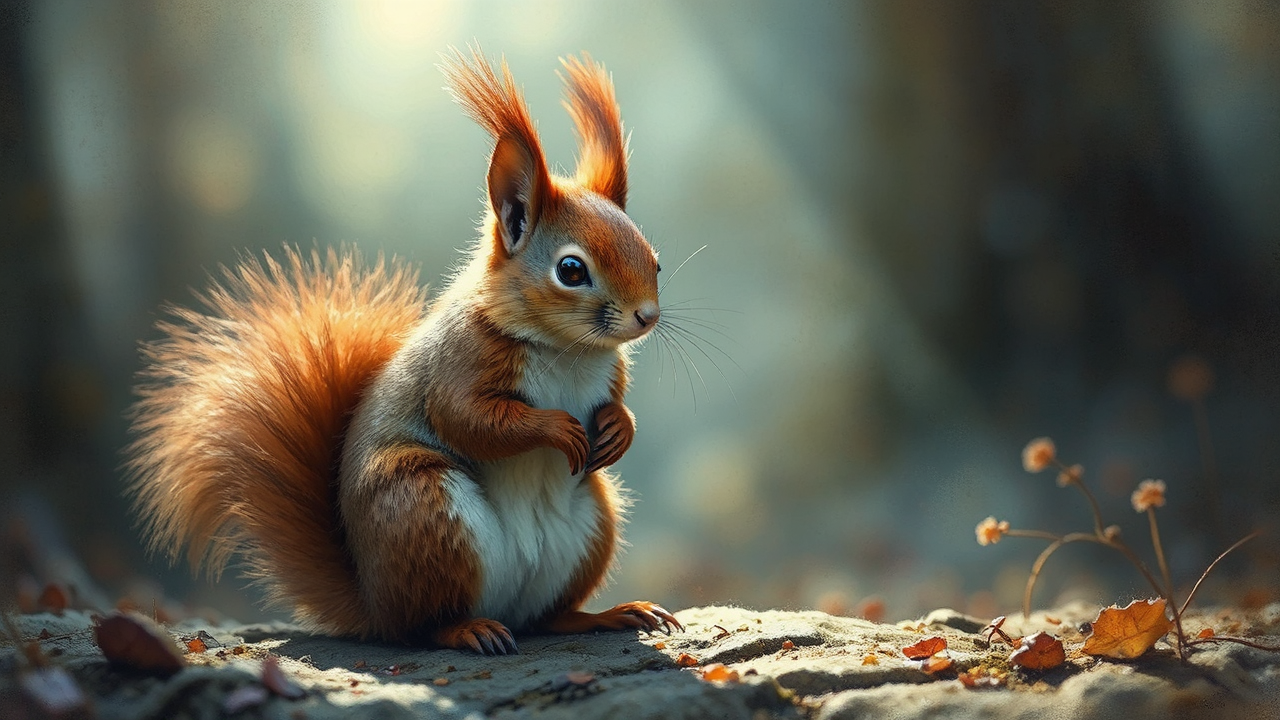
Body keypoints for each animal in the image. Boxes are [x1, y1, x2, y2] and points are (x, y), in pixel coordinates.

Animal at [125, 47, 681, 654]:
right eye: (572, 270)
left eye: (654, 260)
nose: (647, 316)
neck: (568, 350)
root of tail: (373, 603)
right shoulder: (460, 362)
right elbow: (471, 420)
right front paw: (557, 429)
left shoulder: (608, 373)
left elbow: (613, 404)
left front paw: (619, 428)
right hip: (423, 507)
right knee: (423, 626)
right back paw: (468, 629)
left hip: (592, 521)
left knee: (545, 617)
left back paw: (605, 615)